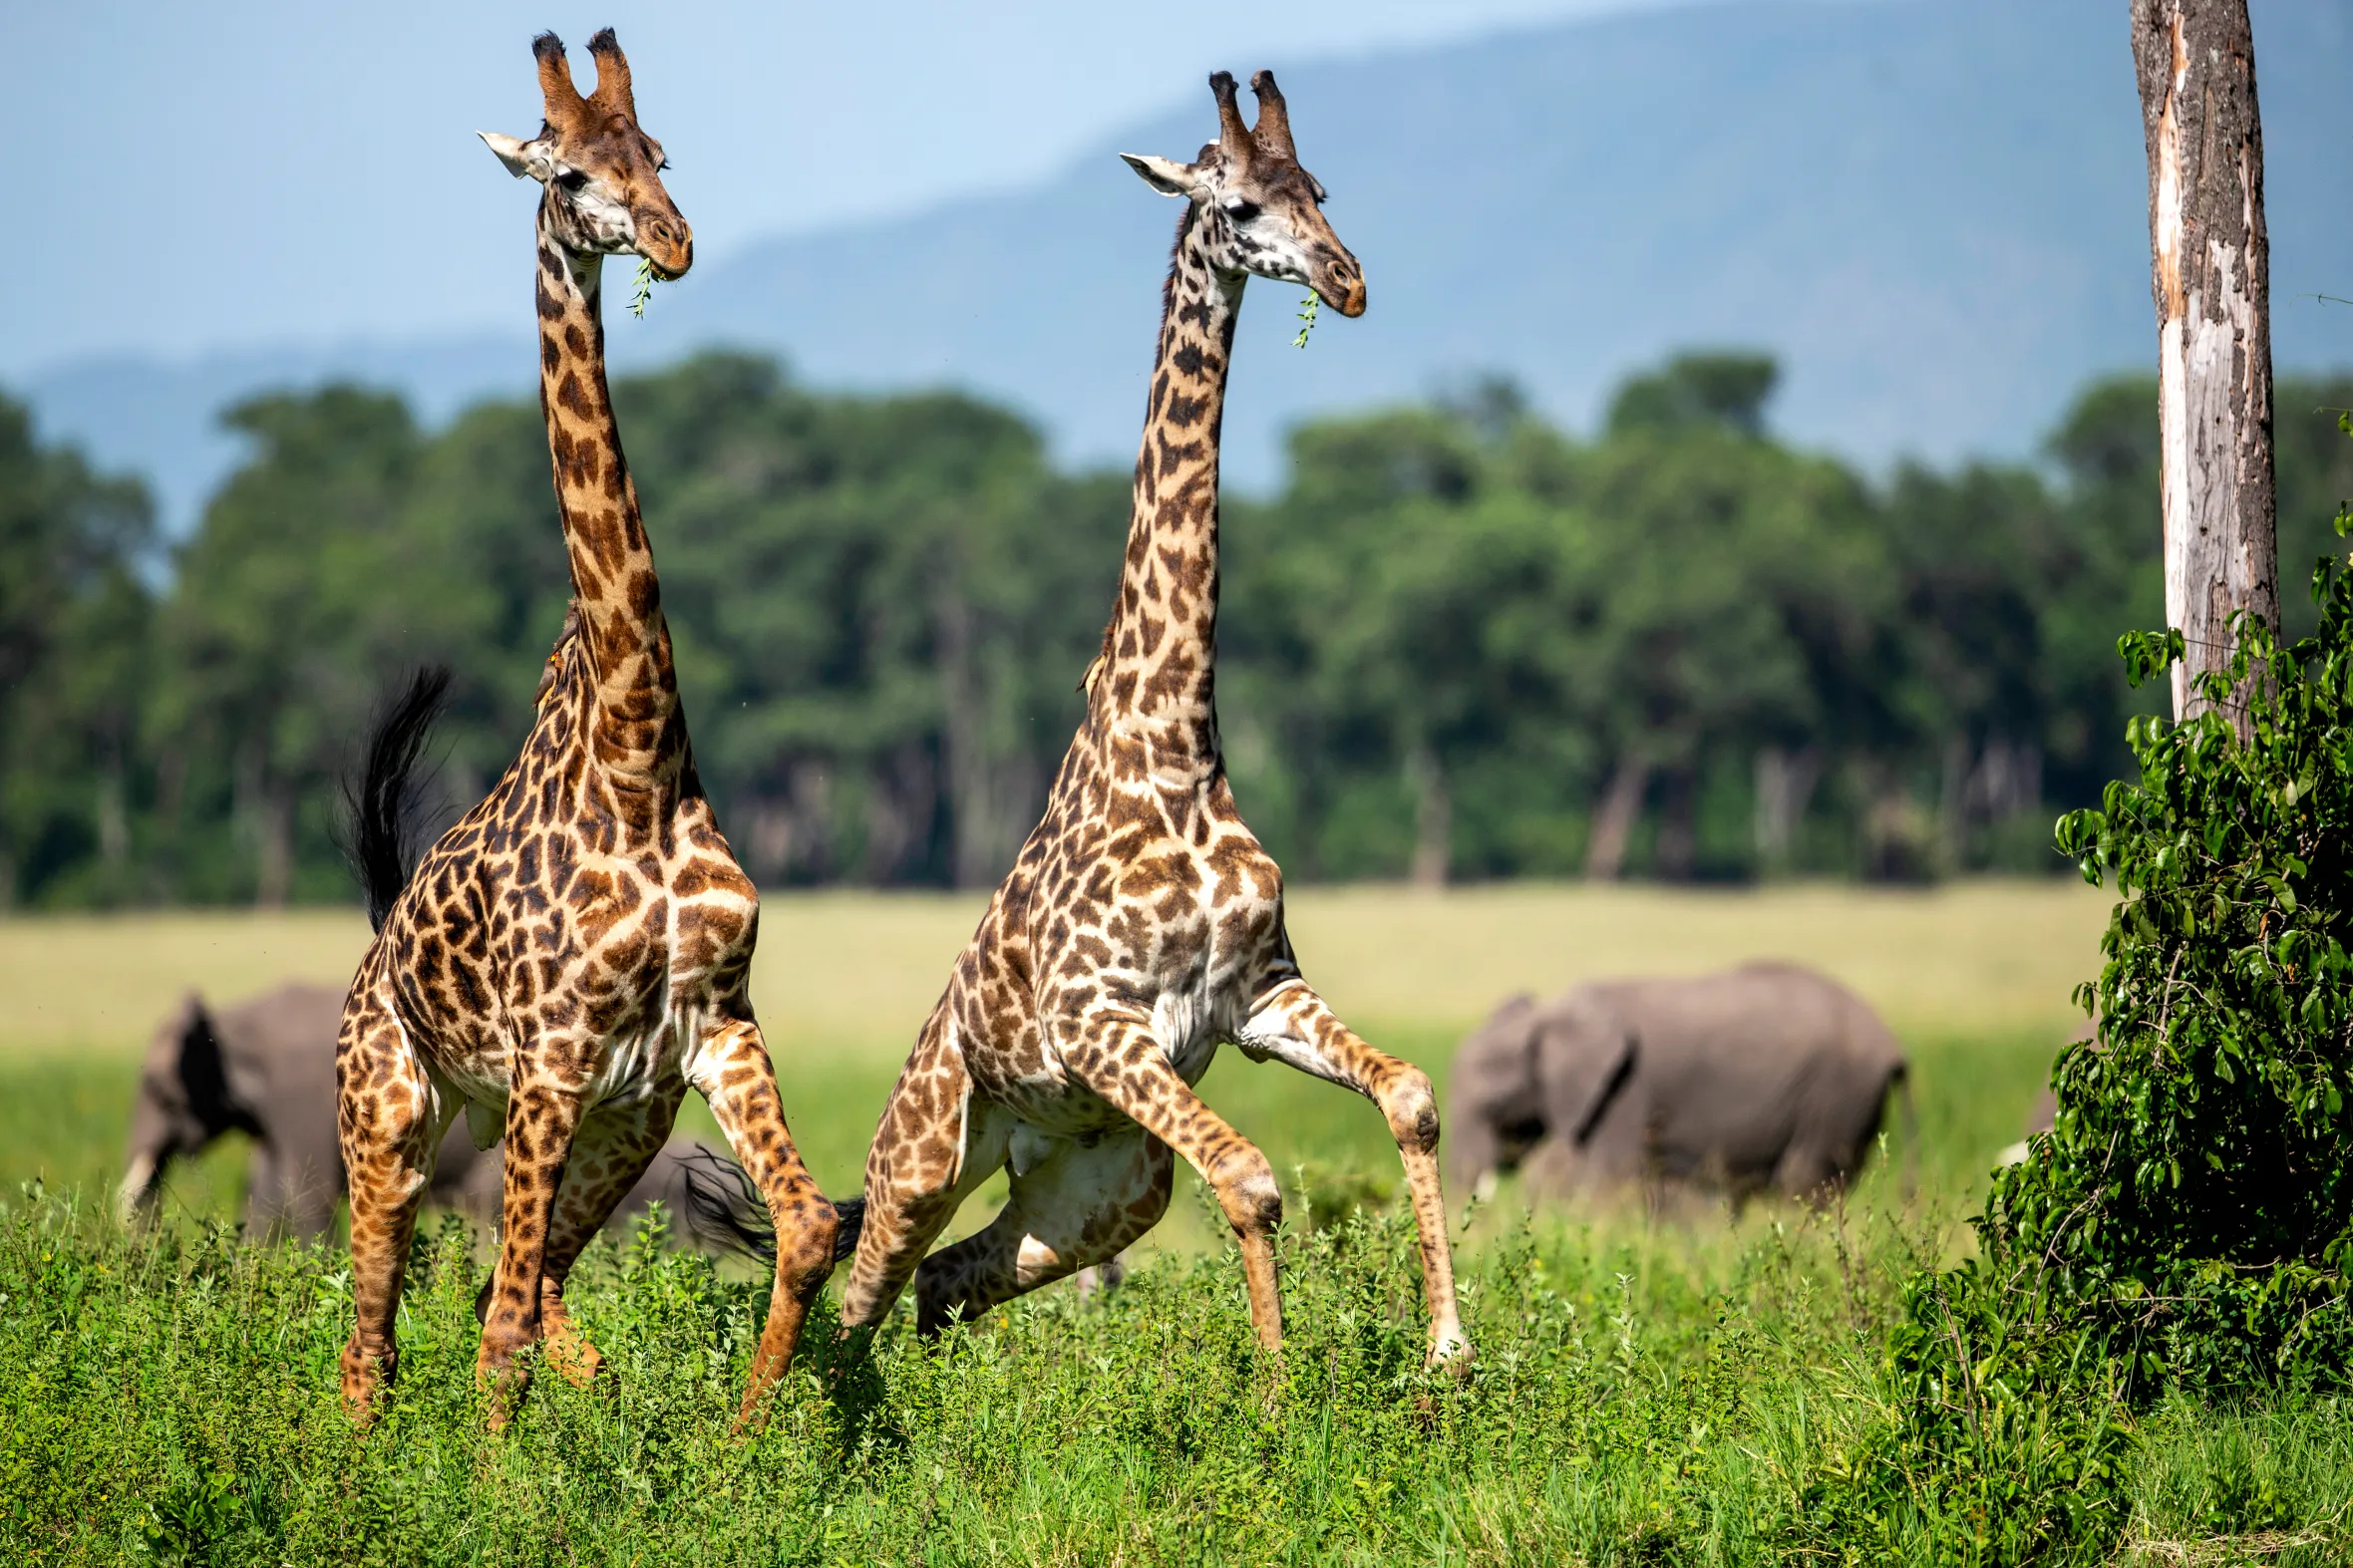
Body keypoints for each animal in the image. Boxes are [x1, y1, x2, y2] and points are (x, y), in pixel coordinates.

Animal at [333, 29, 841, 1429]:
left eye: (657, 154)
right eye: (567, 170)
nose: (669, 237)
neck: (639, 756)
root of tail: (376, 939)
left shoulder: (712, 1030)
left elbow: (810, 1227)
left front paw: (745, 1447)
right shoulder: (553, 1060)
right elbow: (497, 1333)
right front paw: (499, 1473)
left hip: (623, 1119)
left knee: (514, 1282)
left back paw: (600, 1392)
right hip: (390, 1115)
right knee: (379, 1336)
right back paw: (362, 1454)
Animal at [835, 71, 1471, 1366]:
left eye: (1316, 188)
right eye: (1237, 205)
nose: (1346, 279)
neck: (1174, 744)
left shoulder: (1259, 993)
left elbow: (1409, 1096)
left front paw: (1449, 1348)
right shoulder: (1101, 1025)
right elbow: (1253, 1179)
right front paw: (1277, 1396)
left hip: (1100, 1177)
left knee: (950, 1280)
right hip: (925, 1156)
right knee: (856, 1291)